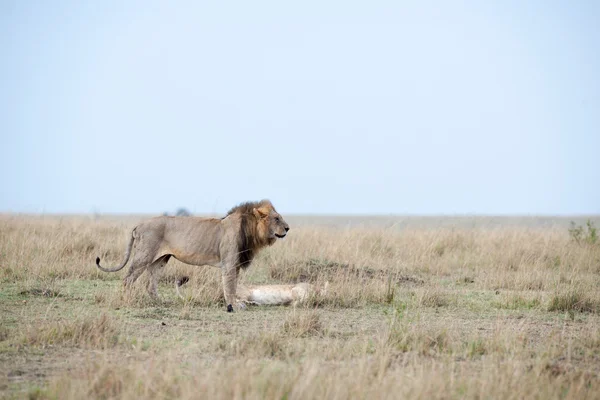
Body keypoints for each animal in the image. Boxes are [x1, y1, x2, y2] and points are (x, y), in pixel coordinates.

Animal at [95, 198, 290, 310]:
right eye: (276, 218)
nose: (288, 228)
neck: (251, 231)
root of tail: (139, 224)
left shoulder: (235, 264)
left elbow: (233, 286)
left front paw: (235, 303)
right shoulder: (229, 263)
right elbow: (229, 286)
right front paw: (233, 305)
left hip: (161, 259)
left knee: (150, 284)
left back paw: (161, 302)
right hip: (144, 255)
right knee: (128, 279)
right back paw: (127, 300)